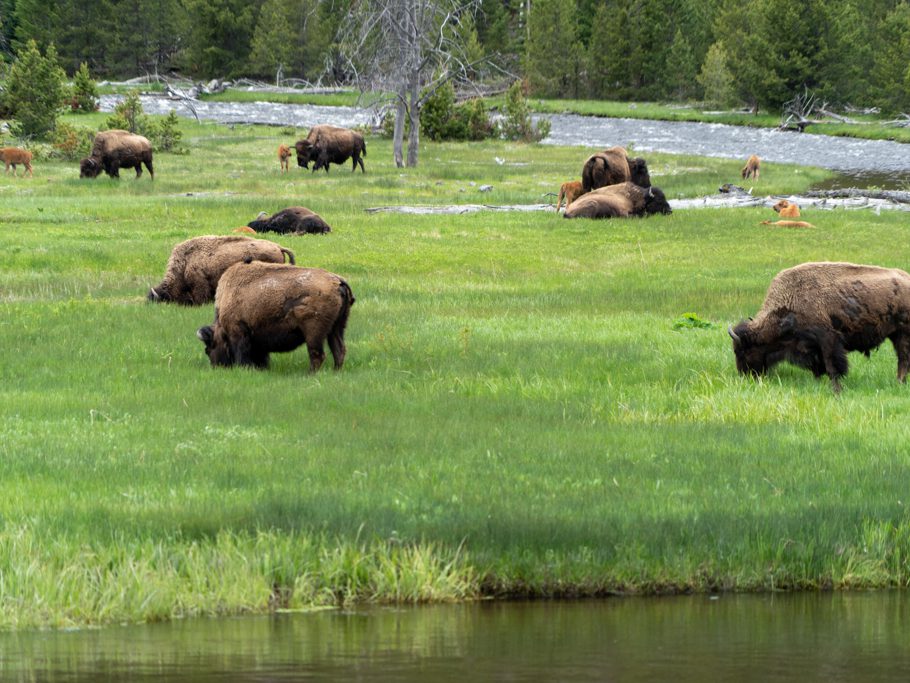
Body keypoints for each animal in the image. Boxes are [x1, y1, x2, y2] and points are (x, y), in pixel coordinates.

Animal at [196, 262, 356, 372]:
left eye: (208, 349)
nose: (216, 366)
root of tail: (338, 281)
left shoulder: (238, 332)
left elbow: (243, 353)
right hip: (337, 328)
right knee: (339, 350)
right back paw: (335, 372)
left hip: (314, 333)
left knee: (317, 355)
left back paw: (310, 374)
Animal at [732, 260, 910, 392]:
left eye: (743, 350)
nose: (744, 375)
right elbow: (818, 367)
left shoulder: (828, 340)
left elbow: (832, 367)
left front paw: (836, 389)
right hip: (896, 335)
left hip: (902, 334)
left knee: (903, 359)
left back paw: (899, 383)